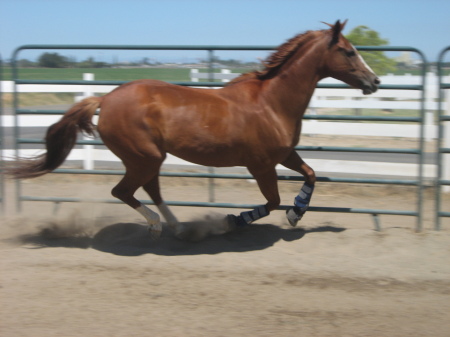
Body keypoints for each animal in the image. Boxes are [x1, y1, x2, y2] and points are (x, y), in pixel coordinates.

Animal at [8, 21, 378, 238]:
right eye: (348, 51)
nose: (374, 81)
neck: (272, 102)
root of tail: (106, 98)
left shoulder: (284, 154)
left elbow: (311, 175)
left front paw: (296, 214)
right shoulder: (261, 165)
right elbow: (271, 201)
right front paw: (234, 220)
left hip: (149, 158)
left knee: (149, 189)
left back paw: (175, 226)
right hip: (144, 156)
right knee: (123, 191)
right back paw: (158, 225)